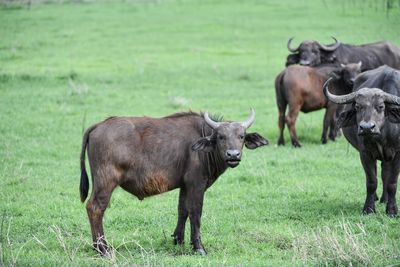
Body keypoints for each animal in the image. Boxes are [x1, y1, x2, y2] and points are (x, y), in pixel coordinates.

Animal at [78, 110, 268, 256]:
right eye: (221, 137)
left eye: (241, 136)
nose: (233, 155)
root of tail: (99, 125)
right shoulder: (196, 185)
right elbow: (196, 213)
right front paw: (199, 247)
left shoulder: (184, 186)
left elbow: (182, 211)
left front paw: (179, 241)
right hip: (105, 182)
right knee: (95, 208)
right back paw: (102, 249)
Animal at [324, 65, 400, 218]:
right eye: (358, 106)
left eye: (381, 106)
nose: (366, 128)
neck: (382, 135)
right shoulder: (365, 154)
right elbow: (371, 181)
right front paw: (369, 209)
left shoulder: (397, 154)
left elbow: (392, 183)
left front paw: (392, 210)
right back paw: (379, 198)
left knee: (385, 174)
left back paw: (385, 199)